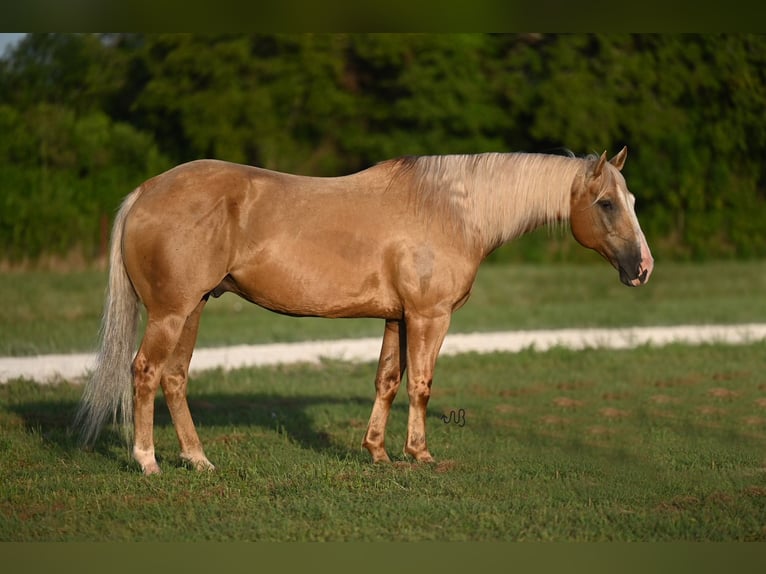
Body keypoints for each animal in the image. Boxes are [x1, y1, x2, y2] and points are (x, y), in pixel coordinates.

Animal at [76, 148, 656, 476]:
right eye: (607, 203)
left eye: (631, 201)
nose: (643, 268)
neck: (449, 210)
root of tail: (147, 191)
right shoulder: (429, 317)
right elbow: (421, 383)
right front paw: (419, 455)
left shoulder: (397, 317)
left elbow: (388, 380)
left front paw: (376, 452)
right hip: (171, 313)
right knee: (145, 372)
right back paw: (147, 461)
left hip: (192, 309)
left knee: (174, 378)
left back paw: (198, 460)